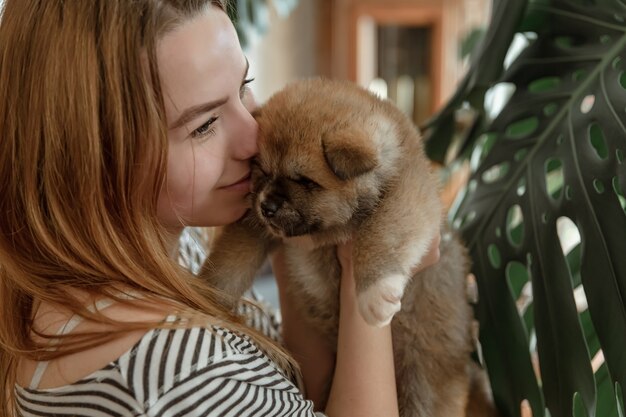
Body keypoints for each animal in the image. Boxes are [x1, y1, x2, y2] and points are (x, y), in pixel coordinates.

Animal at [202, 79, 494, 416]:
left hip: (425, 378)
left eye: (305, 180)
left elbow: (379, 234)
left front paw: (374, 294)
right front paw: (206, 291)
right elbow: (230, 261)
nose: (267, 207)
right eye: (261, 171)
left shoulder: (408, 191)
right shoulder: (253, 226)